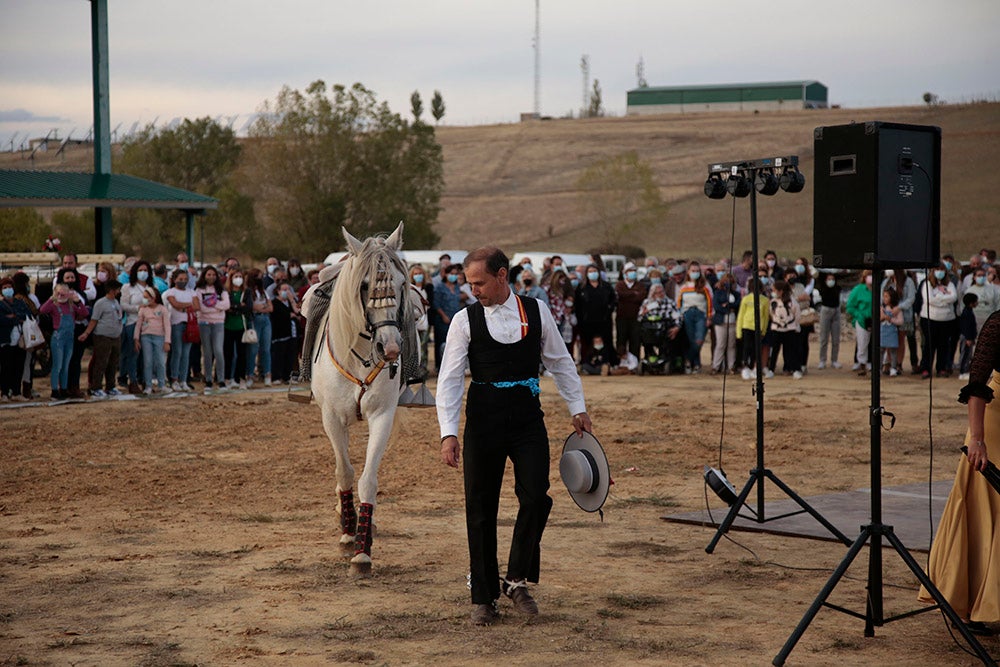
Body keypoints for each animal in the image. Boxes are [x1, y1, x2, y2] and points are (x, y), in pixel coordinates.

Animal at [304, 223, 414, 576]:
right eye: (364, 285)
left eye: (402, 283)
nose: (390, 348)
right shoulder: (332, 418)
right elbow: (345, 472)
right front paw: (348, 531)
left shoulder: (382, 416)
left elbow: (367, 479)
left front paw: (363, 551)